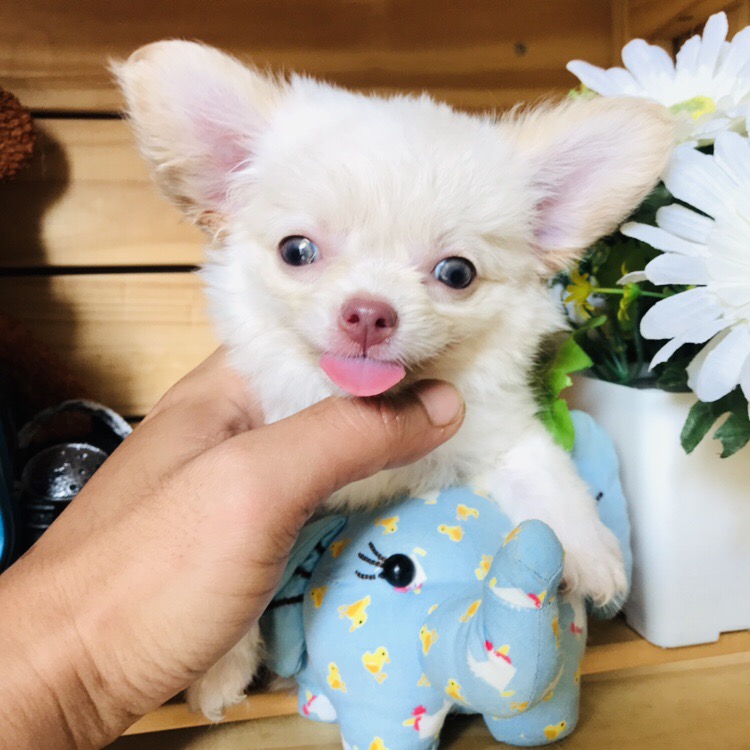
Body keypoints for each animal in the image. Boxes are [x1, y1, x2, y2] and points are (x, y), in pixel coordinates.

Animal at [115, 41, 673, 719]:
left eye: (457, 272)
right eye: (296, 251)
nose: (368, 312)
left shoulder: (498, 432)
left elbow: (544, 474)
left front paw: (591, 553)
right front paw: (220, 670)